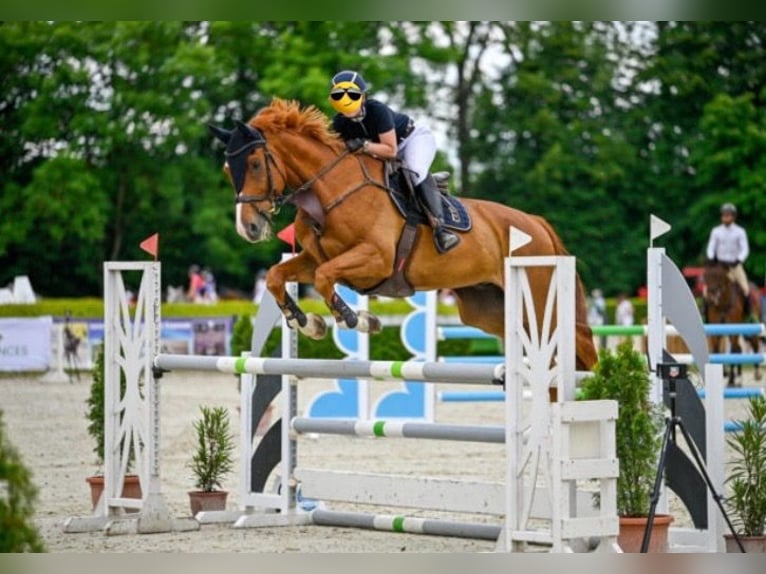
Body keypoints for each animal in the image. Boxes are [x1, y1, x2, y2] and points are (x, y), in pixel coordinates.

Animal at [209, 99, 598, 372]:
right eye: (227, 170)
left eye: (255, 164)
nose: (248, 228)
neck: (330, 188)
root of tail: (536, 222)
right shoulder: (313, 257)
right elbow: (278, 276)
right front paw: (307, 323)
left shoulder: (375, 259)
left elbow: (324, 278)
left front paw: (356, 319)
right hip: (489, 309)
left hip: (540, 295)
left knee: (580, 341)